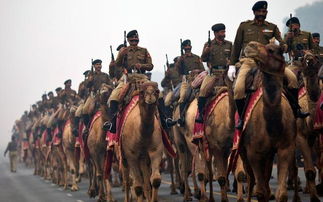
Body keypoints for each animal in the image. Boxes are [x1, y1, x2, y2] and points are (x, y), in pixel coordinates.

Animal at [239, 43, 298, 202]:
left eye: (272, 50)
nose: (250, 46)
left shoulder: (285, 148)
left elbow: (281, 194)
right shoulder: (254, 152)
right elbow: (260, 192)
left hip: (269, 154)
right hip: (243, 149)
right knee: (251, 180)